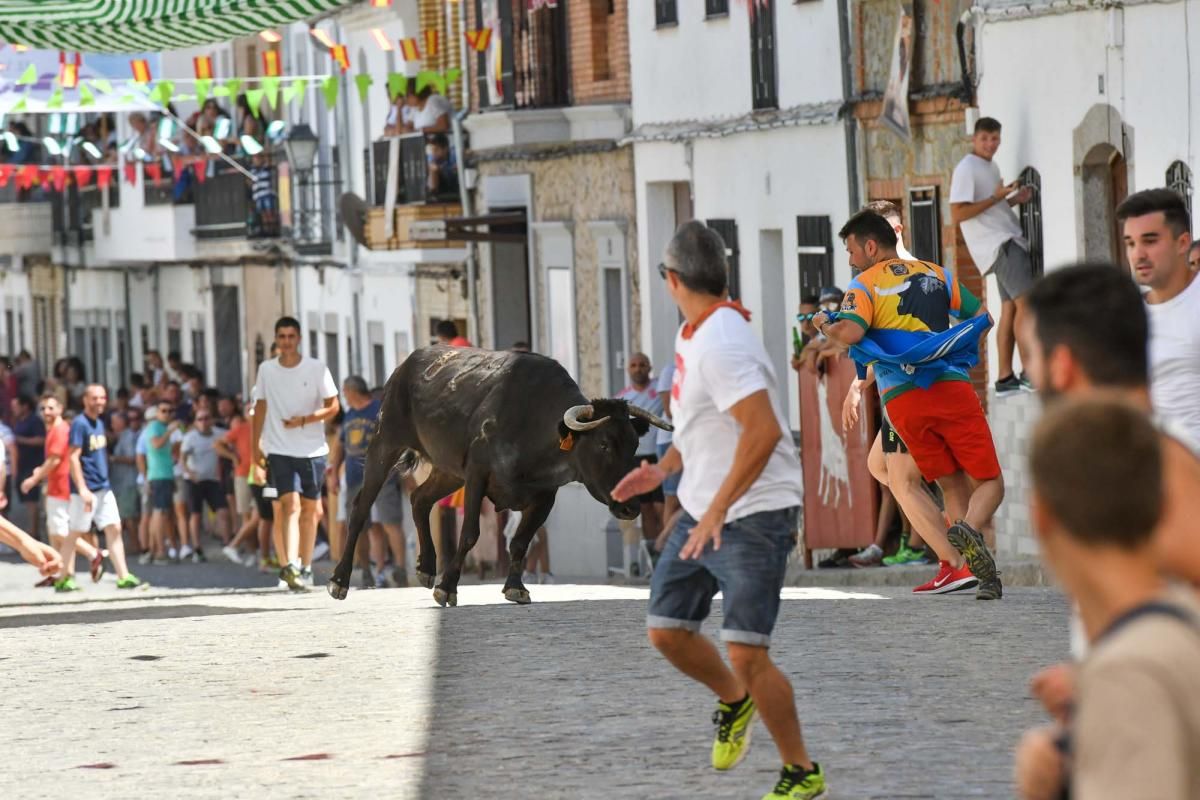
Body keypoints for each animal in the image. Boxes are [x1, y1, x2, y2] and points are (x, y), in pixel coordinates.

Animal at [328, 345, 676, 606]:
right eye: (603, 444)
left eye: (634, 445)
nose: (631, 507)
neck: (534, 426)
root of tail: (409, 363)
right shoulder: (477, 474)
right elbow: (470, 533)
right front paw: (448, 586)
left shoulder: (544, 495)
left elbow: (521, 541)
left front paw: (515, 587)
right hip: (386, 442)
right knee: (360, 509)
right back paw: (339, 580)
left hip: (448, 470)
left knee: (419, 499)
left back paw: (426, 567)